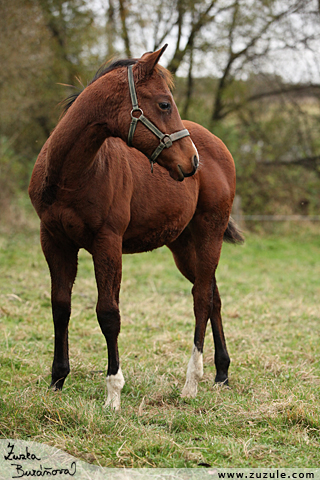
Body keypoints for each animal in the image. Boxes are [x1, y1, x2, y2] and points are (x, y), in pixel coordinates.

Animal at [28, 47, 242, 410]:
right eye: (165, 104)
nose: (192, 161)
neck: (73, 175)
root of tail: (218, 147)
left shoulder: (107, 243)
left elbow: (108, 313)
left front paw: (113, 392)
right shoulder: (54, 242)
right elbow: (60, 307)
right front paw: (57, 381)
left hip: (209, 235)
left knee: (201, 298)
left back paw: (191, 382)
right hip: (183, 246)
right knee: (213, 296)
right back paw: (221, 374)